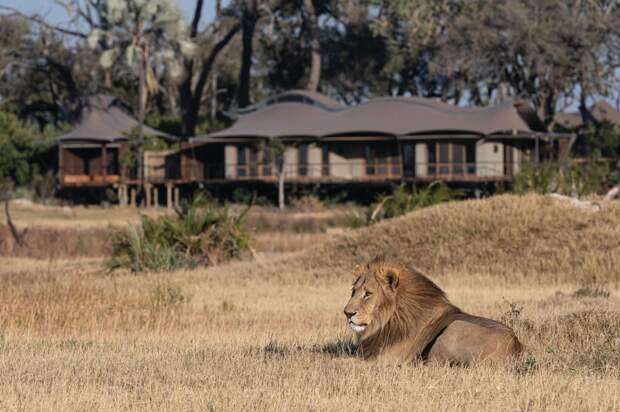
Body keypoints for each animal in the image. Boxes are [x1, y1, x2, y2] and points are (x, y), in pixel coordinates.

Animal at [344, 260, 524, 366]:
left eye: (368, 294)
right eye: (353, 291)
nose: (347, 313)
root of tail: (516, 347)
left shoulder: (385, 360)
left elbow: (343, 361)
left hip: (454, 328)